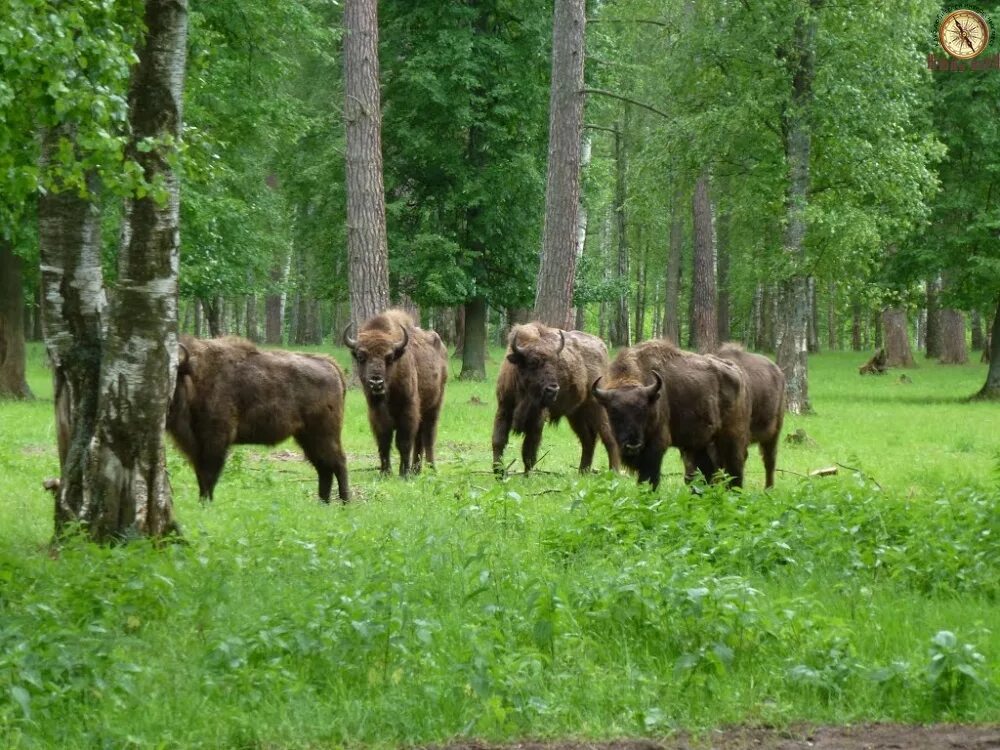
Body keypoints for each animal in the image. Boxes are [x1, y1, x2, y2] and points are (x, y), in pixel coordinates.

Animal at [166, 336, 350, 502]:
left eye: (173, 375)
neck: (195, 377)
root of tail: (330, 364)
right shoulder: (197, 447)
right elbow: (201, 476)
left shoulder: (215, 441)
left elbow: (208, 476)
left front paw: (206, 503)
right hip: (306, 437)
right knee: (324, 467)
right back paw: (323, 502)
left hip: (324, 435)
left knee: (338, 463)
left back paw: (344, 502)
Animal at [348, 310, 450, 476]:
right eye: (361, 356)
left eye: (389, 357)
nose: (376, 383)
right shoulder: (376, 414)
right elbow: (384, 441)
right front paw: (385, 473)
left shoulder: (407, 412)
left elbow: (403, 442)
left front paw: (404, 473)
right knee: (419, 438)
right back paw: (416, 470)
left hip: (434, 406)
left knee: (428, 435)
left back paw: (431, 469)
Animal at [490, 322, 620, 476]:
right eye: (533, 362)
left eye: (556, 363)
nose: (553, 389)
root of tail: (602, 346)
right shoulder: (503, 410)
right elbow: (498, 441)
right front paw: (499, 473)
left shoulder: (537, 418)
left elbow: (529, 450)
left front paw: (527, 476)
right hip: (576, 414)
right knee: (588, 439)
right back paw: (582, 472)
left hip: (597, 407)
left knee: (609, 438)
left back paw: (614, 472)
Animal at [588, 340, 748, 494]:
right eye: (613, 411)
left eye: (644, 409)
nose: (633, 446)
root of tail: (737, 373)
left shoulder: (656, 444)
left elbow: (650, 477)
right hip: (700, 443)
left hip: (730, 437)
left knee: (734, 467)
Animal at [680, 346, 788, 490]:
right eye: (683, 452)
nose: (689, 478)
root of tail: (779, 372)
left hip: (773, 432)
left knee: (769, 460)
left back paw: (768, 489)